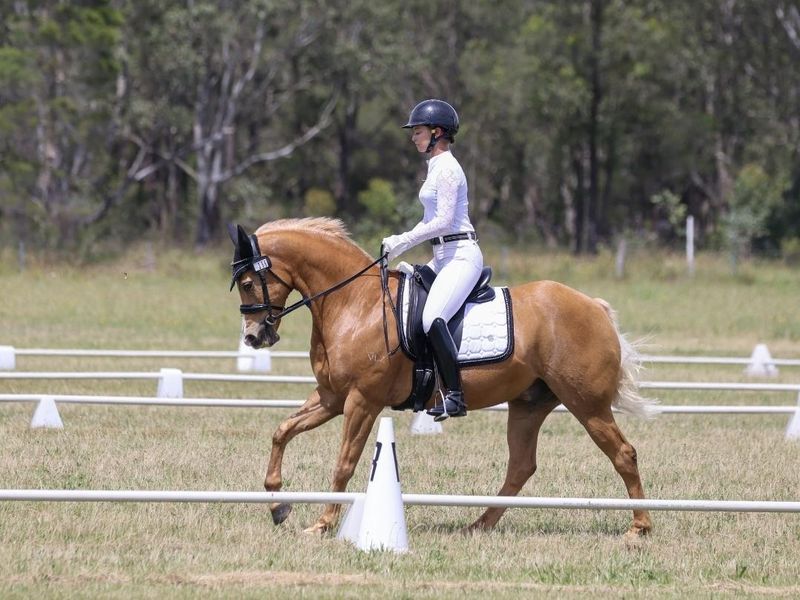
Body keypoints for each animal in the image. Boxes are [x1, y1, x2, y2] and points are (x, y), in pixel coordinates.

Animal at [228, 217, 658, 538]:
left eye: (248, 282)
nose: (253, 337)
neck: (354, 303)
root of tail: (594, 307)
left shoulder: (363, 401)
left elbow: (344, 463)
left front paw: (322, 524)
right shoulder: (332, 397)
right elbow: (282, 431)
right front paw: (278, 505)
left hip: (587, 405)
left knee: (623, 454)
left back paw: (640, 527)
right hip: (529, 405)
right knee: (521, 466)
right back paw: (478, 525)